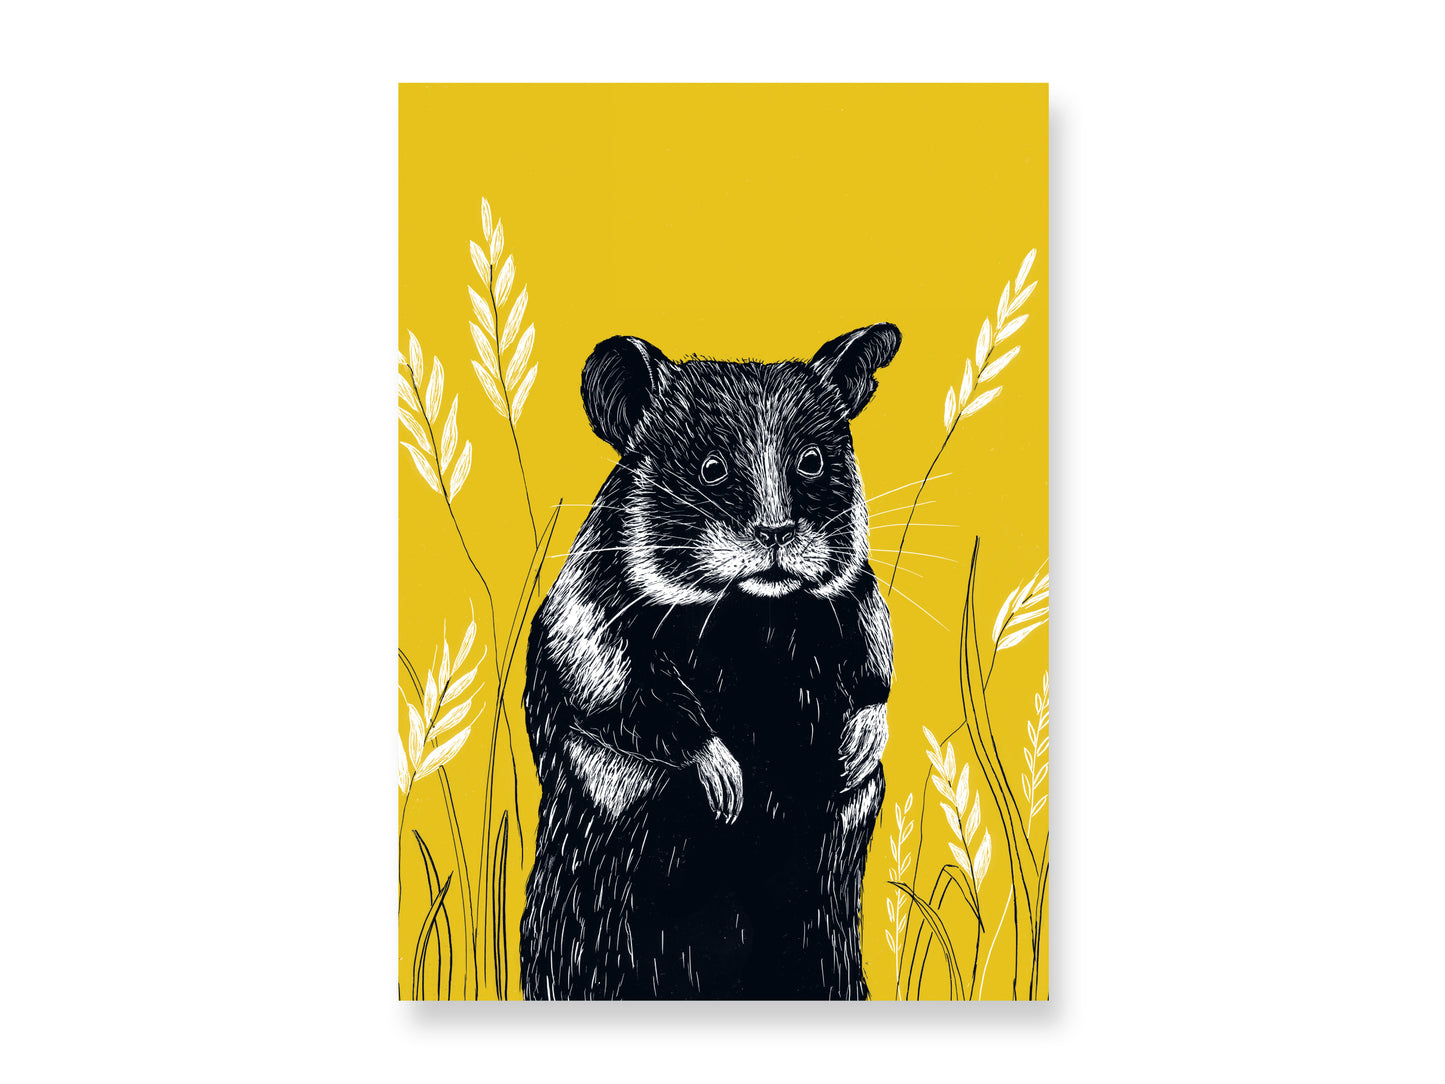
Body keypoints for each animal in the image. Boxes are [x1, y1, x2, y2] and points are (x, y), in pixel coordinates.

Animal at [519, 324, 899, 1000]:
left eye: (812, 460)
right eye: (712, 468)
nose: (776, 535)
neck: (755, 613)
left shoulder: (856, 610)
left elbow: (873, 680)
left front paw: (851, 757)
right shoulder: (591, 635)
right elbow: (643, 704)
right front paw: (729, 788)